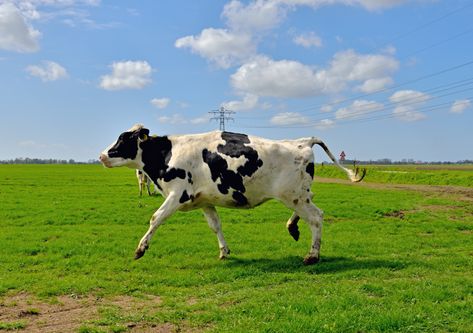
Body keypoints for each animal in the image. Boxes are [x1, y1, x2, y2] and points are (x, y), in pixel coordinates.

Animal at [98, 123, 366, 264]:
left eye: (124, 139)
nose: (101, 156)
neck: (166, 154)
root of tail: (302, 141)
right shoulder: (204, 201)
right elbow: (215, 225)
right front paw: (224, 251)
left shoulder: (177, 195)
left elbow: (155, 218)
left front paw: (140, 249)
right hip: (299, 193)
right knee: (312, 208)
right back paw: (293, 227)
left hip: (293, 195)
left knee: (317, 217)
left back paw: (312, 255)